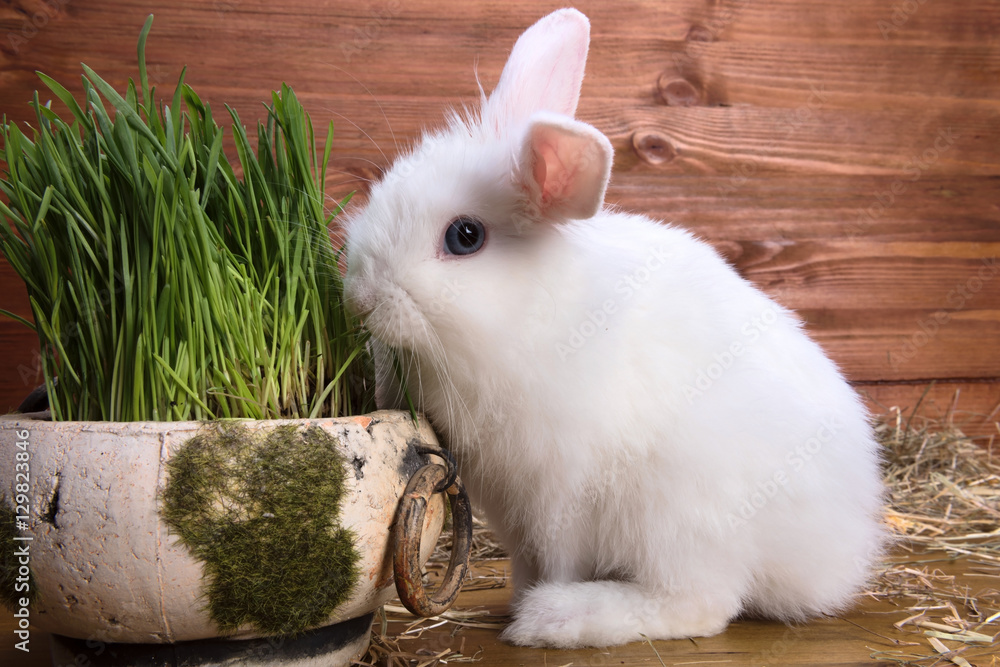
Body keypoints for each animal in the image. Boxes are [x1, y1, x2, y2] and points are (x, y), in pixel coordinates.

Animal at [343, 8, 887, 649]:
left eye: (465, 236)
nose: (361, 295)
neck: (529, 321)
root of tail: (832, 559)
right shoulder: (511, 505)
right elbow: (526, 560)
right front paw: (517, 596)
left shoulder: (559, 492)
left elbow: (558, 556)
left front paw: (533, 611)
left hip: (677, 515)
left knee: (702, 604)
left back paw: (561, 617)